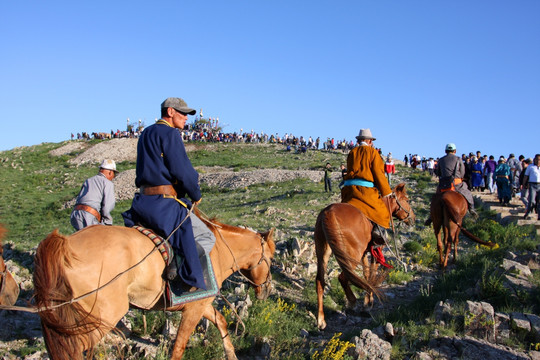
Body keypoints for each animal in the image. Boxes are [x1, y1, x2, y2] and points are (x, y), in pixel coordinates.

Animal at [33, 214, 274, 360]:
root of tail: (65, 245)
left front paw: (231, 354)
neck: (217, 250)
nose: (267, 290)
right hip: (98, 319)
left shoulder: (200, 304)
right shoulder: (194, 309)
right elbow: (178, 347)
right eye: (271, 259)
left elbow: (221, 321)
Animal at [314, 184, 416, 330]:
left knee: (320, 281)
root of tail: (328, 214)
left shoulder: (365, 253)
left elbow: (367, 274)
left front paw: (368, 300)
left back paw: (321, 320)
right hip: (351, 255)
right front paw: (368, 303)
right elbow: (372, 274)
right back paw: (352, 303)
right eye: (407, 200)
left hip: (323, 252)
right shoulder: (377, 251)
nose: (413, 218)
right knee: (343, 277)